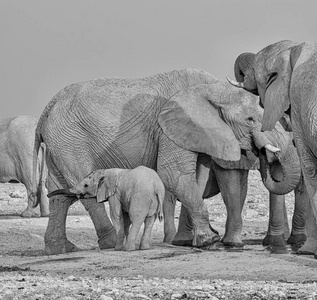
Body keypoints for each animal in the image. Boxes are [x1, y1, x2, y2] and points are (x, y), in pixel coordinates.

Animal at [31, 68, 298, 255]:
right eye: (251, 119)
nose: (262, 153)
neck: (213, 88)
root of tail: (45, 111)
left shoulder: (198, 134)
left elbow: (197, 178)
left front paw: (195, 241)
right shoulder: (169, 129)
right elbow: (175, 176)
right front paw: (209, 240)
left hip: (60, 144)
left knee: (59, 194)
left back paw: (60, 249)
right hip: (70, 142)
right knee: (84, 191)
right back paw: (109, 243)